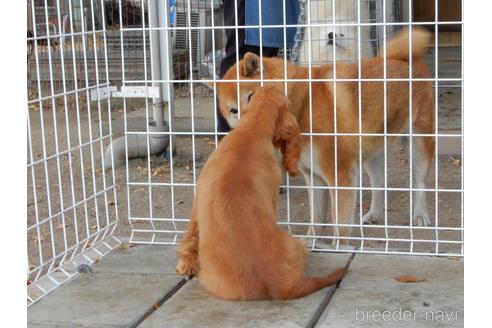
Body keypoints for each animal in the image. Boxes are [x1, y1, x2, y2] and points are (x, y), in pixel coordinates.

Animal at [176, 86, 346, 300]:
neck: (253, 125)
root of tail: (279, 284)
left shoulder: (198, 199)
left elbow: (191, 233)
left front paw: (185, 265)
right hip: (296, 244)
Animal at [215, 27, 434, 243]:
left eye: (251, 97)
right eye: (233, 111)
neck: (302, 104)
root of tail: (406, 60)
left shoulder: (340, 175)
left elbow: (340, 226)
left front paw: (338, 247)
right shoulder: (313, 176)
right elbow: (317, 218)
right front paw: (311, 242)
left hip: (417, 145)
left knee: (420, 182)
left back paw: (420, 215)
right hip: (372, 152)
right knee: (378, 183)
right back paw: (374, 214)